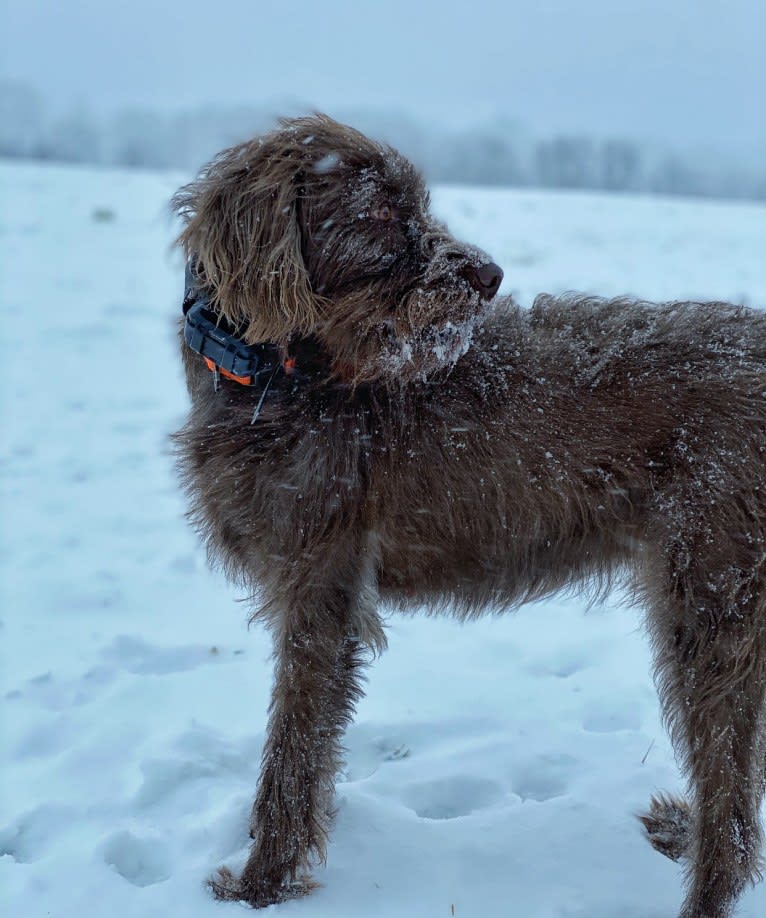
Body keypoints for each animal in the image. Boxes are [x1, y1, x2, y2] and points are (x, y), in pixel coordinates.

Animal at [172, 117, 766, 918]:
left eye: (415, 205)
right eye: (378, 213)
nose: (490, 275)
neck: (276, 372)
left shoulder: (319, 589)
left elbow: (292, 751)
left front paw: (261, 883)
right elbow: (313, 743)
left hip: (711, 598)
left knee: (729, 795)